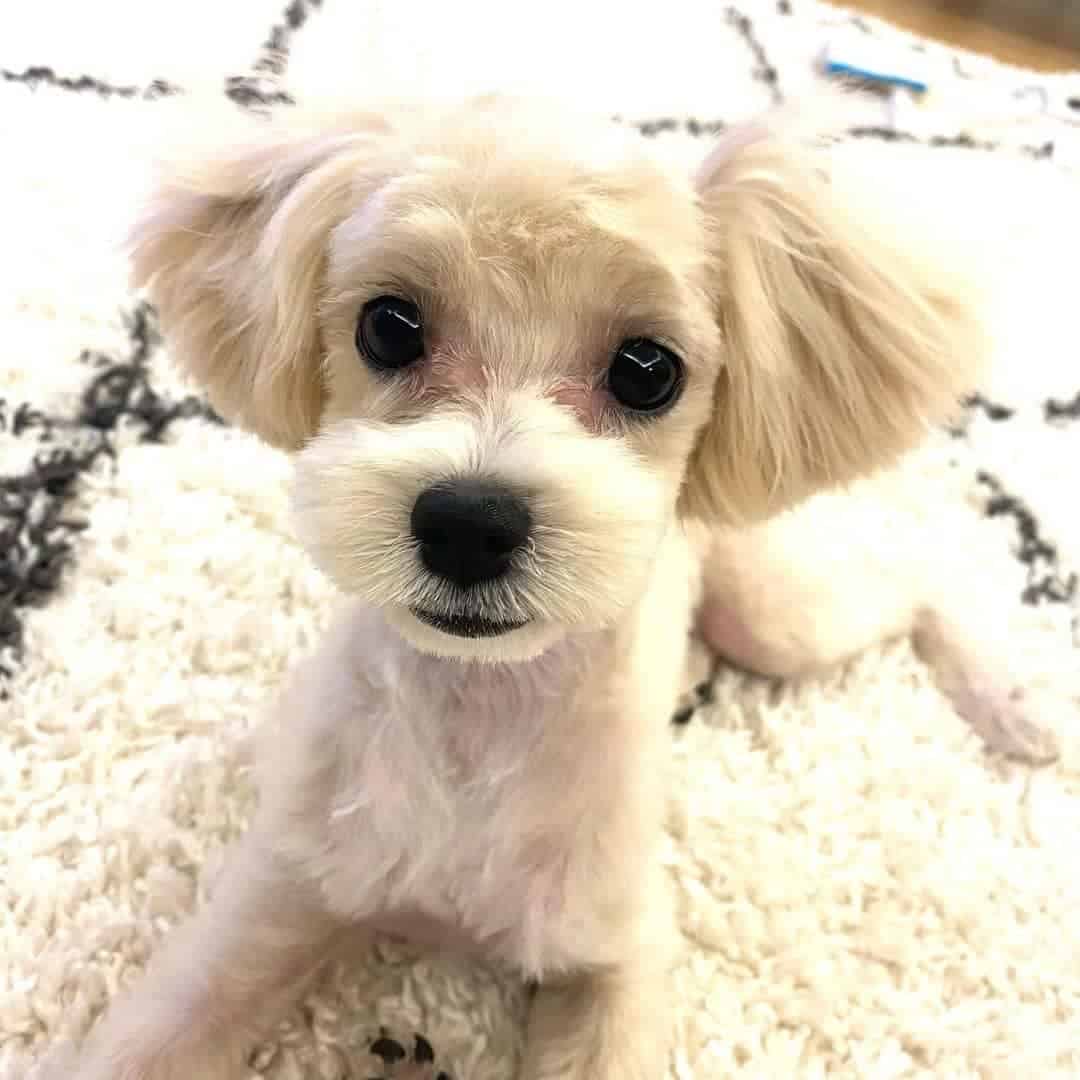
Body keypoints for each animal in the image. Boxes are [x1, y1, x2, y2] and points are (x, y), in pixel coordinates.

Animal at [48, 95, 1036, 1080]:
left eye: (648, 370)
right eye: (388, 326)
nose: (468, 523)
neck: (477, 716)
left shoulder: (615, 954)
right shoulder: (276, 896)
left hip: (775, 619)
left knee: (917, 584)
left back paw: (1013, 705)